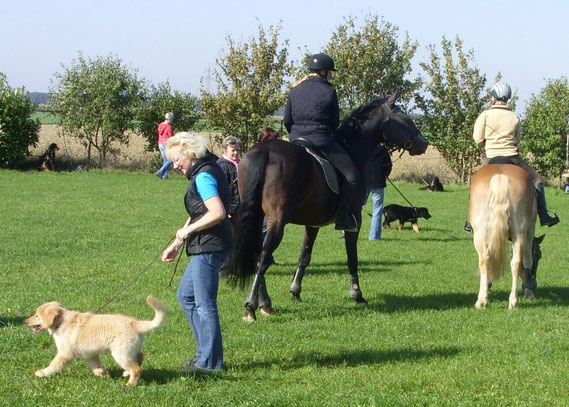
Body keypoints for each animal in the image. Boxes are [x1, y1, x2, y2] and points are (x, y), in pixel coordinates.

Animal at [25, 296, 165, 386]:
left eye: (37, 316)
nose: (25, 321)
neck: (61, 322)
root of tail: (135, 324)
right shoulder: (90, 353)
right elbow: (94, 366)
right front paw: (103, 373)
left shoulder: (65, 354)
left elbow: (54, 365)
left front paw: (43, 373)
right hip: (129, 349)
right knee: (139, 358)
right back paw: (126, 373)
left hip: (120, 352)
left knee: (136, 368)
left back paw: (130, 384)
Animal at [222, 92, 426, 322]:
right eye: (405, 118)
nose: (424, 143)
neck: (352, 149)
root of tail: (264, 150)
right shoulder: (354, 220)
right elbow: (352, 258)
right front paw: (357, 294)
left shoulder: (312, 224)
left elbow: (305, 255)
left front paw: (295, 291)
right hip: (277, 220)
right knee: (263, 257)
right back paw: (250, 306)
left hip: (259, 218)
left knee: (257, 255)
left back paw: (265, 303)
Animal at [468, 163, 544, 310]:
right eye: (539, 255)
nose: (534, 279)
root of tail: (500, 176)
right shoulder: (529, 231)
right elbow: (527, 259)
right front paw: (529, 291)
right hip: (519, 232)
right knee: (516, 261)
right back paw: (512, 300)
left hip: (482, 232)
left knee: (486, 259)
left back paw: (484, 299)